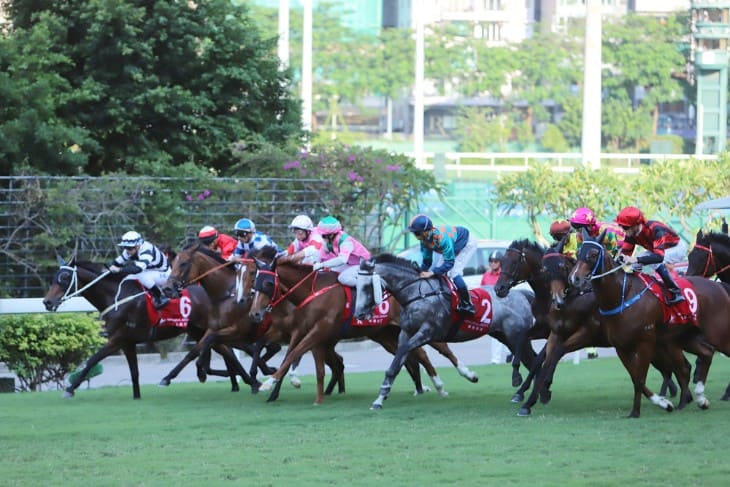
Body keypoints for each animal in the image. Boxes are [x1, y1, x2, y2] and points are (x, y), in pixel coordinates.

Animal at [42, 258, 253, 398]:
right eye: (54, 277)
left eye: (64, 277)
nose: (47, 302)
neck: (116, 296)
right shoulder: (127, 342)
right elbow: (134, 372)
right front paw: (137, 396)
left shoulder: (117, 339)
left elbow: (92, 360)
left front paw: (70, 389)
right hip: (197, 330)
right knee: (225, 350)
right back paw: (243, 379)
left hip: (203, 329)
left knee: (225, 350)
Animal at [245, 248, 474, 404]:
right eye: (255, 283)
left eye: (267, 283)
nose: (254, 313)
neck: (314, 292)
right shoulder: (309, 332)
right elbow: (305, 362)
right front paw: (312, 397)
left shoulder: (319, 330)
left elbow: (294, 354)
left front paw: (269, 383)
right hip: (386, 334)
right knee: (414, 355)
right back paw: (428, 386)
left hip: (419, 326)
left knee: (437, 350)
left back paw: (460, 376)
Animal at [352, 254, 536, 410]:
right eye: (356, 285)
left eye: (367, 286)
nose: (359, 314)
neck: (417, 294)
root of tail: (522, 294)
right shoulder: (406, 332)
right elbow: (396, 364)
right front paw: (379, 399)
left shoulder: (427, 331)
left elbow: (404, 352)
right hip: (505, 337)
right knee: (531, 360)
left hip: (516, 337)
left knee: (532, 360)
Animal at [568, 233, 728, 420]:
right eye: (578, 252)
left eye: (593, 254)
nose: (575, 278)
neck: (623, 296)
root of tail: (718, 286)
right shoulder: (621, 347)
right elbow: (636, 377)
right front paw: (662, 403)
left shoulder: (645, 343)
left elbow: (640, 378)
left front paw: (640, 410)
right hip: (684, 338)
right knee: (705, 354)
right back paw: (700, 398)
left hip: (718, 334)